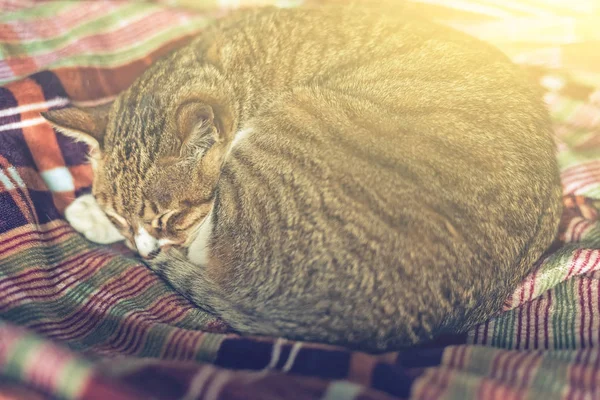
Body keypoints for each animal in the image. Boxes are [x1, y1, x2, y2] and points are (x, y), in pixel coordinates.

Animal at [41, 4, 564, 352]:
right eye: (122, 218)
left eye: (170, 217)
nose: (145, 246)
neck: (227, 66)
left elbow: (191, 241)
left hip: (283, 128)